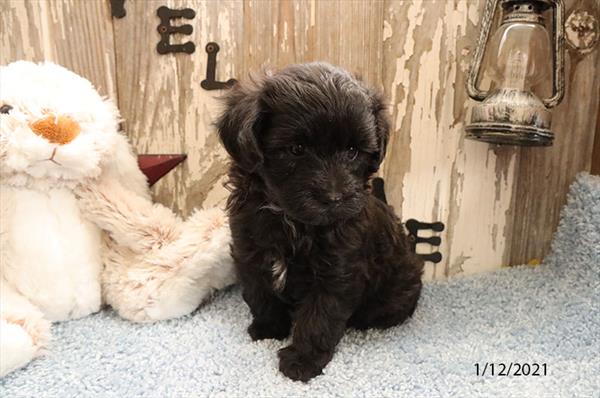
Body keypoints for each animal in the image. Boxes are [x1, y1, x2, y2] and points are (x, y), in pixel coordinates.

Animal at [216, 63, 422, 382]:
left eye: (352, 151)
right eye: (297, 149)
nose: (334, 198)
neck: (290, 219)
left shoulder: (337, 272)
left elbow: (319, 316)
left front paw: (302, 360)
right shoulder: (249, 249)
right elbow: (259, 292)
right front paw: (268, 328)